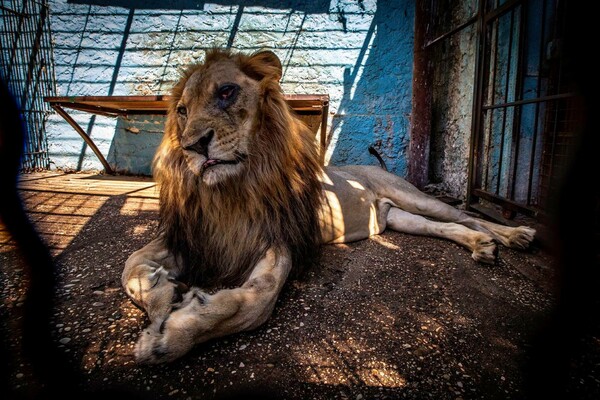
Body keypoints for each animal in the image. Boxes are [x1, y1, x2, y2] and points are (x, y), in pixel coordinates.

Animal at [120, 48, 536, 364]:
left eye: (226, 92)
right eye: (182, 111)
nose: (192, 146)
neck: (230, 191)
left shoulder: (277, 241)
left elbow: (254, 303)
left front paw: (174, 332)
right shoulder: (190, 237)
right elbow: (131, 269)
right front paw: (164, 298)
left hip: (413, 196)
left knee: (465, 215)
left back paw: (513, 234)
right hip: (399, 219)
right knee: (447, 228)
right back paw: (482, 246)